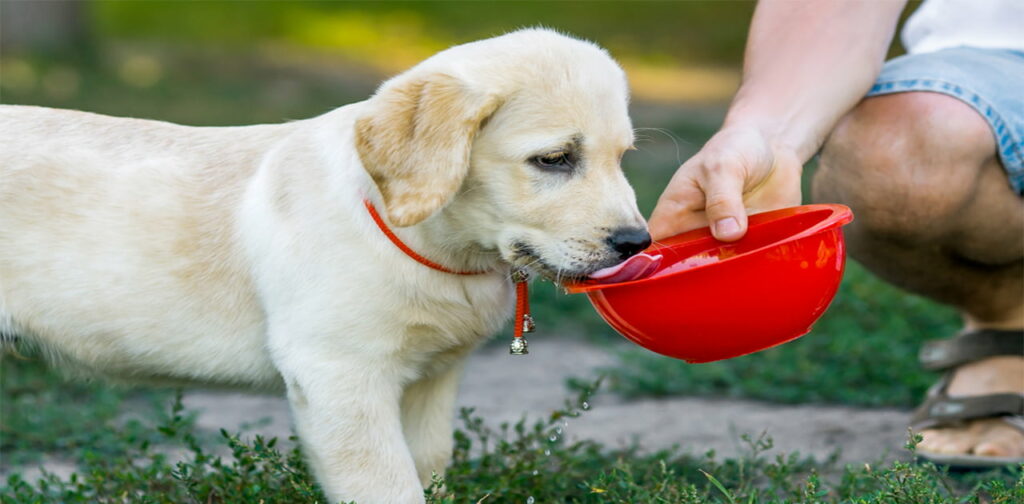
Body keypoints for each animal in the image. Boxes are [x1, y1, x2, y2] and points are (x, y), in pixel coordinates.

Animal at [0, 29, 647, 501]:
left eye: (622, 157)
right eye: (554, 159)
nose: (636, 242)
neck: (433, 244)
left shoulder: (433, 380)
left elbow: (428, 467)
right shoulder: (339, 375)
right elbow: (387, 485)